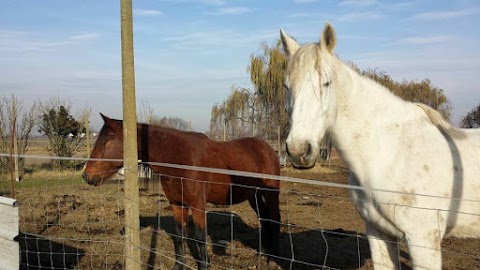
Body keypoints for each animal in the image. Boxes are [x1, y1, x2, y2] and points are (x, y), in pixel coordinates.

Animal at [82, 114, 282, 270]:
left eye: (109, 140)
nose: (86, 175)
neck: (180, 161)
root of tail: (269, 149)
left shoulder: (198, 205)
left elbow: (200, 237)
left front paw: (204, 265)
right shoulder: (177, 204)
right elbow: (179, 236)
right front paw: (179, 265)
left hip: (270, 194)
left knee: (275, 220)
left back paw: (273, 260)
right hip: (254, 196)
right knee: (265, 221)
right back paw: (261, 255)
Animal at [280, 22, 480, 268]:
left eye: (326, 82)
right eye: (286, 85)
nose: (298, 150)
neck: (391, 153)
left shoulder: (423, 240)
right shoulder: (378, 232)